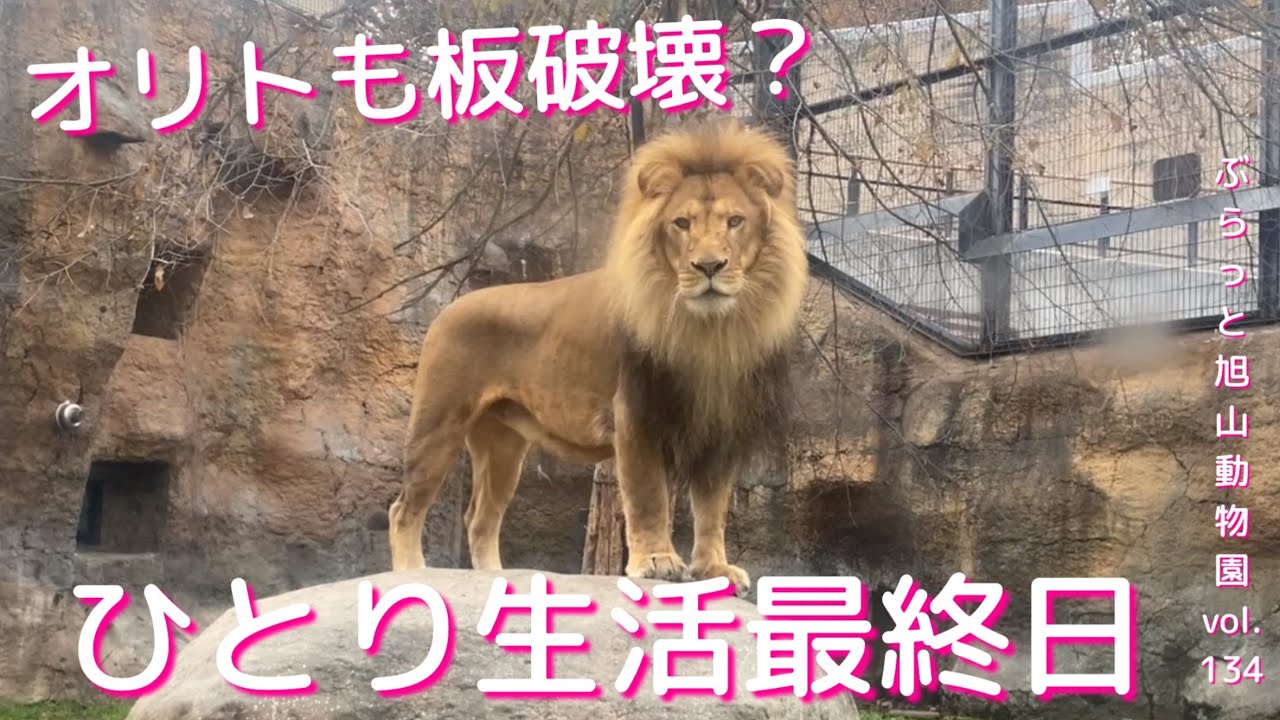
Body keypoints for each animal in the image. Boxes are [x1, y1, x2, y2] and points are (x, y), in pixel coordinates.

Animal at [387, 117, 809, 595]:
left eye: (735, 221)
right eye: (681, 223)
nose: (709, 266)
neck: (709, 331)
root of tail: (450, 307)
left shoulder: (721, 428)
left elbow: (712, 507)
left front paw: (714, 569)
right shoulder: (636, 414)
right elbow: (648, 496)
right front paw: (657, 561)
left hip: (503, 445)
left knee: (479, 517)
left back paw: (497, 580)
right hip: (437, 424)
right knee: (404, 509)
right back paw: (411, 574)